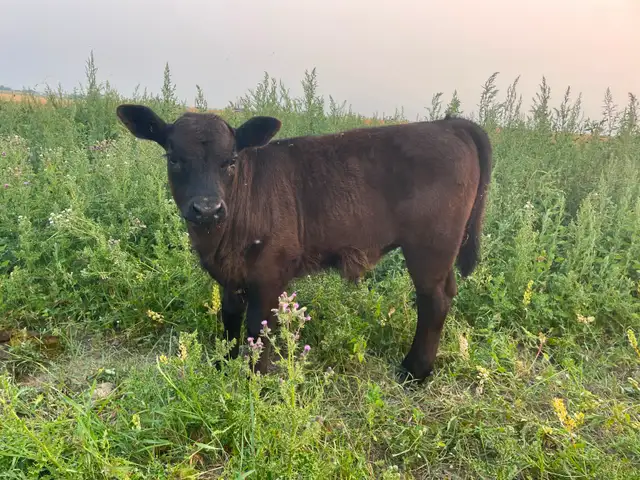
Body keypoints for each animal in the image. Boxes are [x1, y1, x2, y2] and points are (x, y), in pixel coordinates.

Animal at [115, 104, 492, 382]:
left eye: (231, 161)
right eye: (174, 158)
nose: (207, 208)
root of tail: (449, 125)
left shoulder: (269, 276)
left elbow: (257, 327)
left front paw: (255, 378)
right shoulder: (230, 278)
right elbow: (230, 319)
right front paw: (224, 363)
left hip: (430, 248)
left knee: (434, 301)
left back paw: (414, 371)